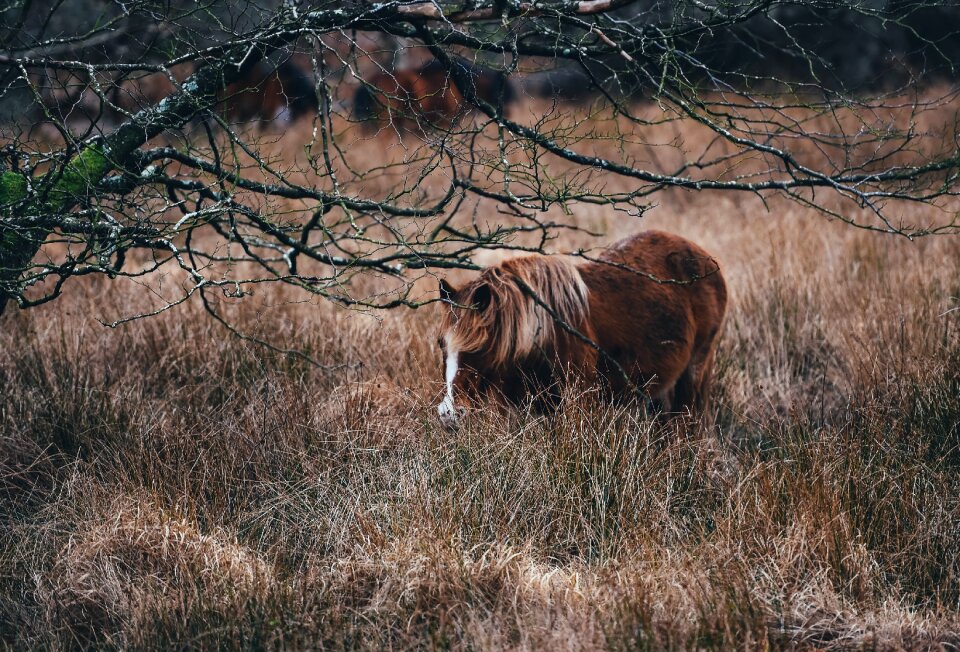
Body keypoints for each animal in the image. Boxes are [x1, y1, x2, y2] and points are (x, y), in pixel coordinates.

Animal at [436, 230, 728, 428]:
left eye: (479, 347)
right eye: (441, 344)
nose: (449, 414)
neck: (543, 335)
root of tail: (707, 261)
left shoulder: (578, 403)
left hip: (695, 370)